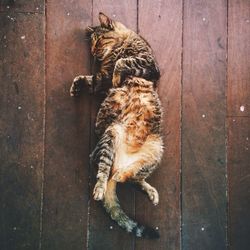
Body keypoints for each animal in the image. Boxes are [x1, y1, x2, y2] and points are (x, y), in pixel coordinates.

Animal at [70, 12, 164, 238]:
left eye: (99, 41)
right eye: (91, 44)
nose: (93, 53)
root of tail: (119, 166)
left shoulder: (149, 64)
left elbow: (123, 61)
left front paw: (117, 74)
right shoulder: (100, 80)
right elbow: (92, 79)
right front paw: (77, 85)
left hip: (156, 150)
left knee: (133, 179)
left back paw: (138, 184)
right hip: (111, 134)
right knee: (104, 171)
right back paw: (101, 187)